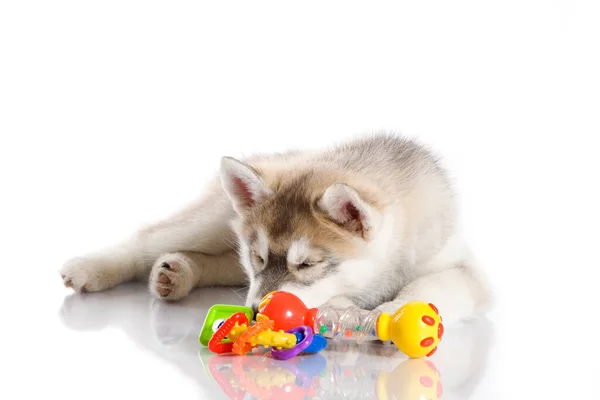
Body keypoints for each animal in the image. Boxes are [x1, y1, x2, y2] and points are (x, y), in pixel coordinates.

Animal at [59, 134, 492, 324]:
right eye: (259, 257)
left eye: (307, 265)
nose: (255, 313)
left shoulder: (459, 266)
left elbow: (430, 288)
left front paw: (390, 313)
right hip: (208, 220)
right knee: (146, 239)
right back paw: (92, 267)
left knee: (219, 264)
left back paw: (177, 273)